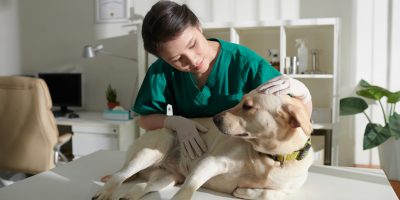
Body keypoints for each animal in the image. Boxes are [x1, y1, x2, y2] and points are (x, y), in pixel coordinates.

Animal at [92, 93, 314, 199]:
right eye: (239, 101)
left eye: (248, 106)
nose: (215, 119)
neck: (268, 158)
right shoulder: (210, 163)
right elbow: (189, 189)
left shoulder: (288, 190)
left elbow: (271, 193)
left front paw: (243, 192)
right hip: (155, 147)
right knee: (119, 175)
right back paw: (105, 193)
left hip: (166, 178)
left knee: (142, 185)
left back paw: (129, 196)